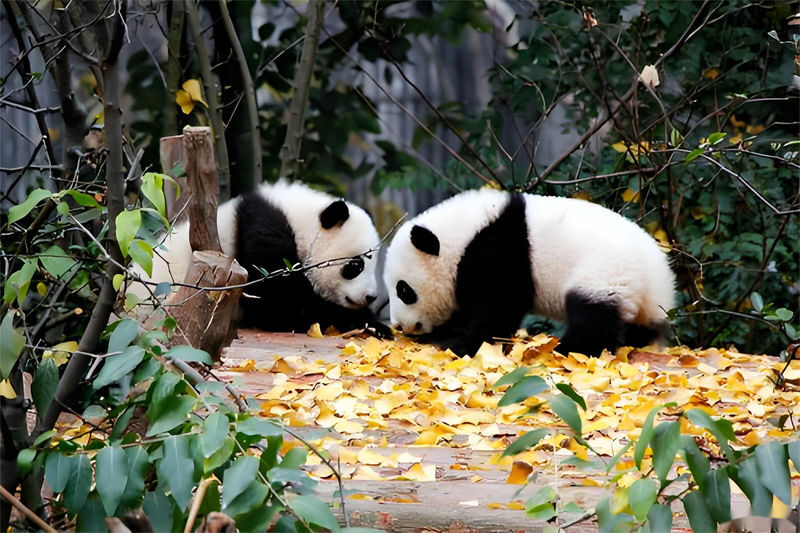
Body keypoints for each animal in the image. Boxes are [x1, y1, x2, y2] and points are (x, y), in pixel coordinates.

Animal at [383, 188, 675, 355]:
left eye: (404, 290)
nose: (401, 325)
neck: (463, 234)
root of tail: (659, 276)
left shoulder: (498, 250)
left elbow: (499, 304)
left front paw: (460, 343)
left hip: (605, 271)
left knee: (593, 317)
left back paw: (568, 349)